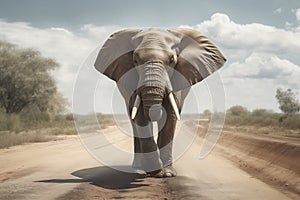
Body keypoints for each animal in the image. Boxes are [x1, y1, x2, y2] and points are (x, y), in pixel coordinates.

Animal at [94, 27, 225, 177]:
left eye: (172, 60)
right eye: (135, 60)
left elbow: (170, 115)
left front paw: (167, 174)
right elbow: (140, 116)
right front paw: (155, 171)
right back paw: (138, 168)